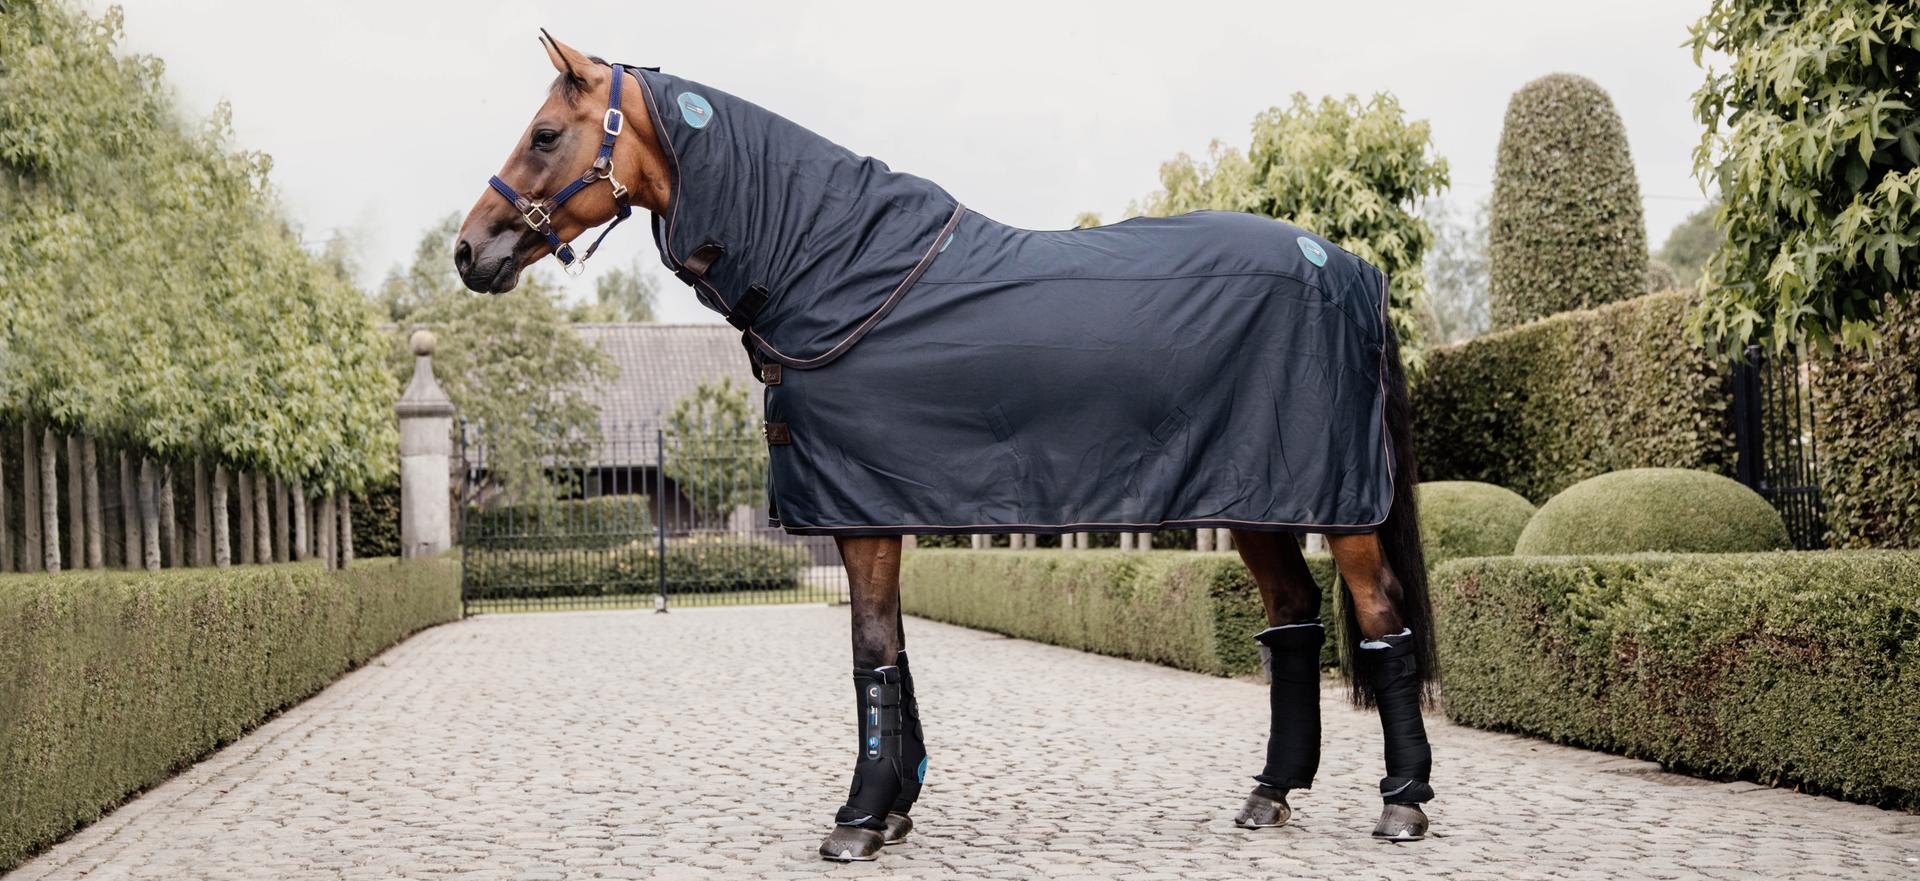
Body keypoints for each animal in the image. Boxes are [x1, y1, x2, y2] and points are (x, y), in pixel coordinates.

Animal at [456, 32, 1438, 861]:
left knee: (1380, 616)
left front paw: (857, 818)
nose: (470, 251)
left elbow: (870, 653)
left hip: (1337, 504)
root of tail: (1350, 266)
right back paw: (1270, 792)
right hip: (1258, 495)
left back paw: (1403, 801)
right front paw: (895, 806)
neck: (839, 269)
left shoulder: (861, 515)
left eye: (545, 133)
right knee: (1293, 619)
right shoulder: (873, 508)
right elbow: (894, 655)